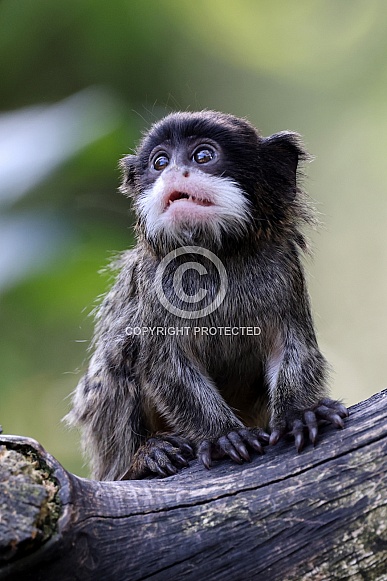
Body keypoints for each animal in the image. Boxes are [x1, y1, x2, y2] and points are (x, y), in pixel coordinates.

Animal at [66, 110, 348, 480]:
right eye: (160, 162)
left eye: (202, 156)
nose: (173, 172)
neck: (216, 256)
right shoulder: (153, 287)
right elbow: (164, 366)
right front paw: (224, 435)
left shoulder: (285, 271)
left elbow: (292, 346)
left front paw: (299, 413)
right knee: (119, 353)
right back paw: (144, 457)